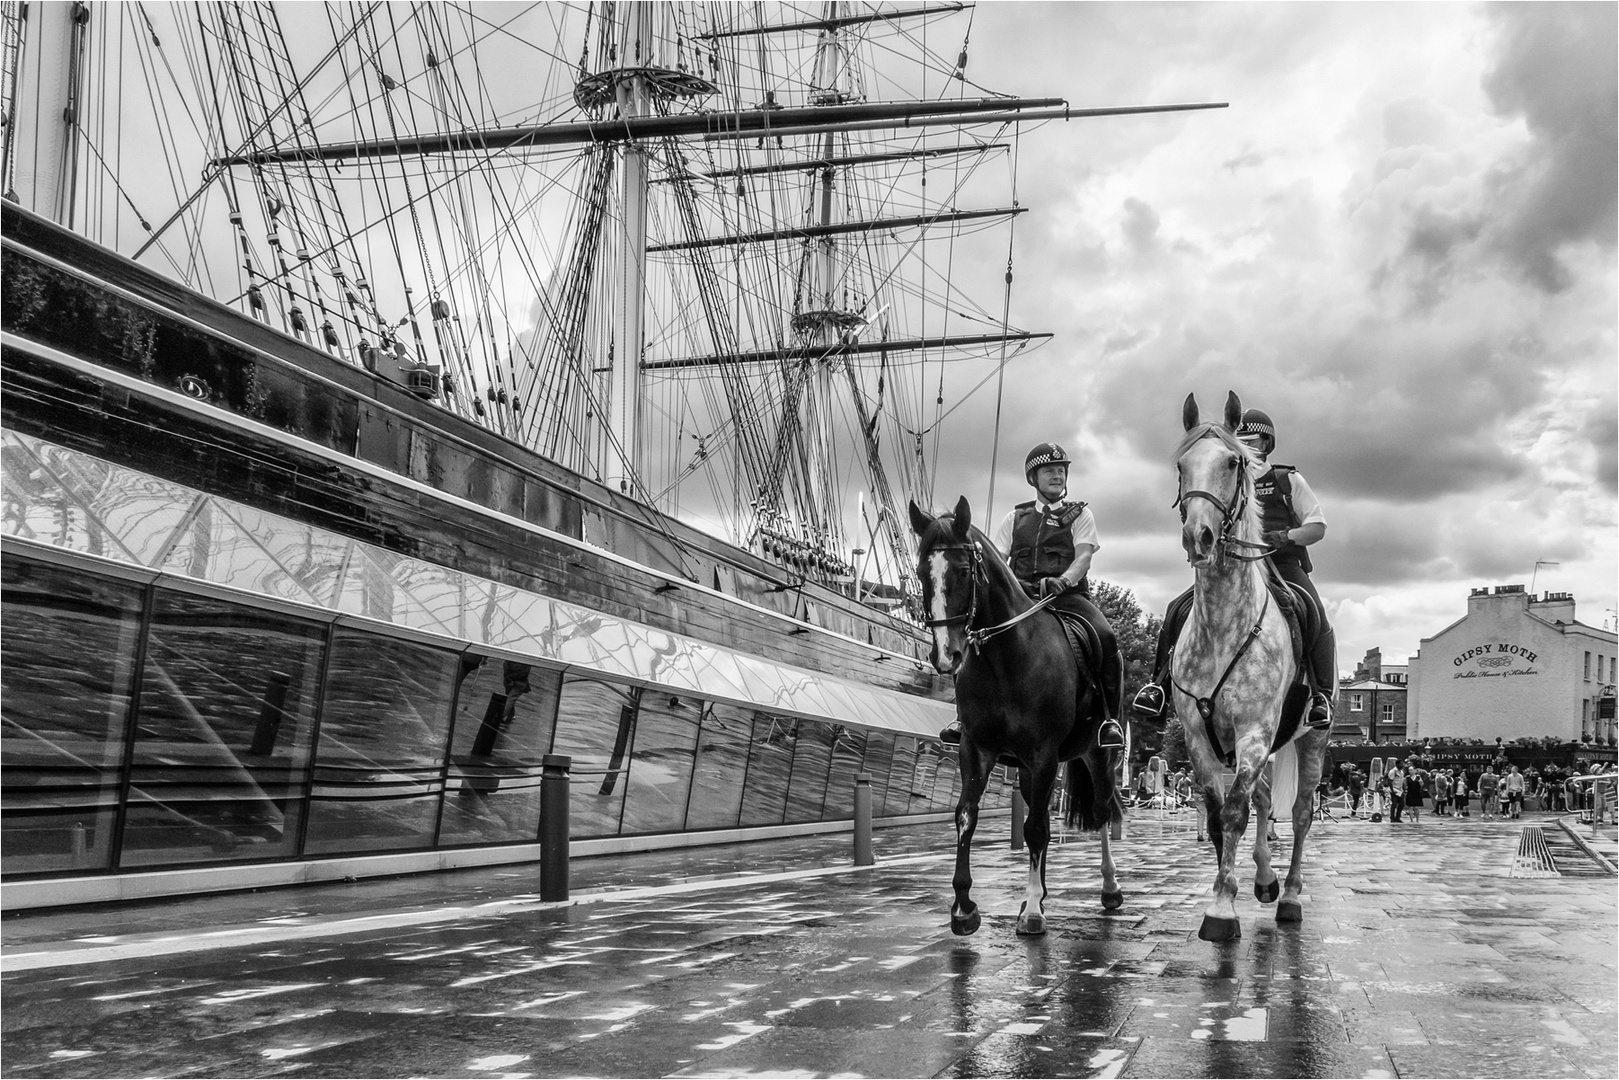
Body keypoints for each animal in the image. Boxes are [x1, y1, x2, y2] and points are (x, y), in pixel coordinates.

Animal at [906, 498, 1120, 939]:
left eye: (963, 570)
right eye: (921, 572)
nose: (945, 656)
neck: (1005, 658)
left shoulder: (1043, 755)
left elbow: (1036, 829)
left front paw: (1034, 912)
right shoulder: (977, 749)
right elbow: (966, 816)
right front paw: (964, 908)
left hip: (1096, 754)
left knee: (1103, 811)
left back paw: (1108, 889)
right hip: (1026, 768)